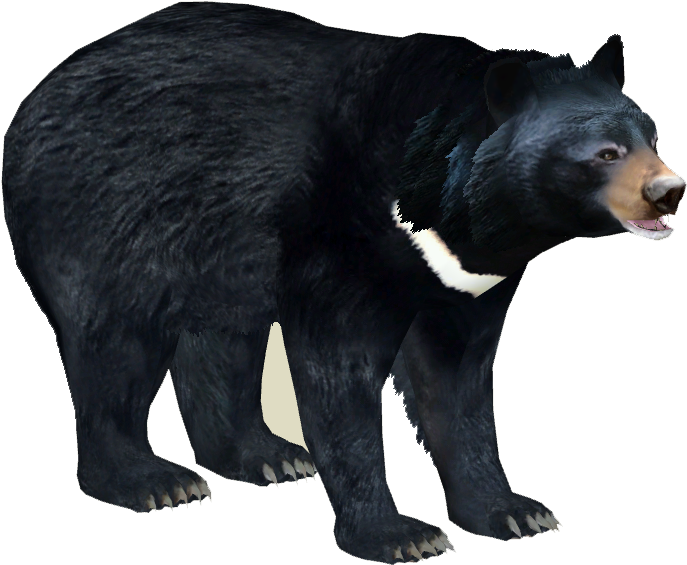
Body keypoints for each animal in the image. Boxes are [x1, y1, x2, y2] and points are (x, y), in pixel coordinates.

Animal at [3, 2, 684, 562]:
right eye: (604, 153)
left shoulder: (465, 280)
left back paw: (267, 456)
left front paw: (514, 511)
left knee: (222, 344)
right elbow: (340, 374)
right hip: (109, 220)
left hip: (221, 253)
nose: (669, 191)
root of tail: (35, 98)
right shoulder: (344, 240)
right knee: (114, 345)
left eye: (651, 134)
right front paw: (401, 535)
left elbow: (457, 385)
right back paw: (153, 481)